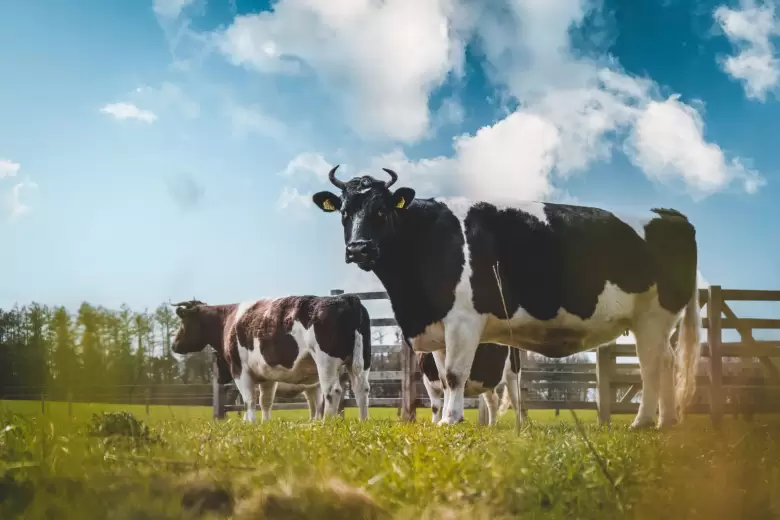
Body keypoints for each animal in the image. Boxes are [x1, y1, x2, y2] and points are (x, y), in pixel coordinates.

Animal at [171, 294, 372, 422]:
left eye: (183, 322)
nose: (174, 345)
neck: (228, 320)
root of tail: (345, 298)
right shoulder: (267, 375)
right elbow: (265, 402)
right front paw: (265, 424)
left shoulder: (240, 369)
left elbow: (249, 400)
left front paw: (251, 423)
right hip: (361, 361)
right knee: (361, 389)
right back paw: (363, 421)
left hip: (326, 362)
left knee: (332, 392)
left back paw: (326, 424)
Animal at [312, 166, 701, 429]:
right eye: (344, 212)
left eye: (381, 210)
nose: (358, 248)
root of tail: (670, 213)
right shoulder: (439, 325)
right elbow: (444, 376)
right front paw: (447, 418)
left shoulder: (464, 320)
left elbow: (455, 374)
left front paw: (450, 421)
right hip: (651, 321)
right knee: (666, 362)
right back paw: (665, 422)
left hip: (655, 315)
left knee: (652, 366)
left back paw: (643, 421)